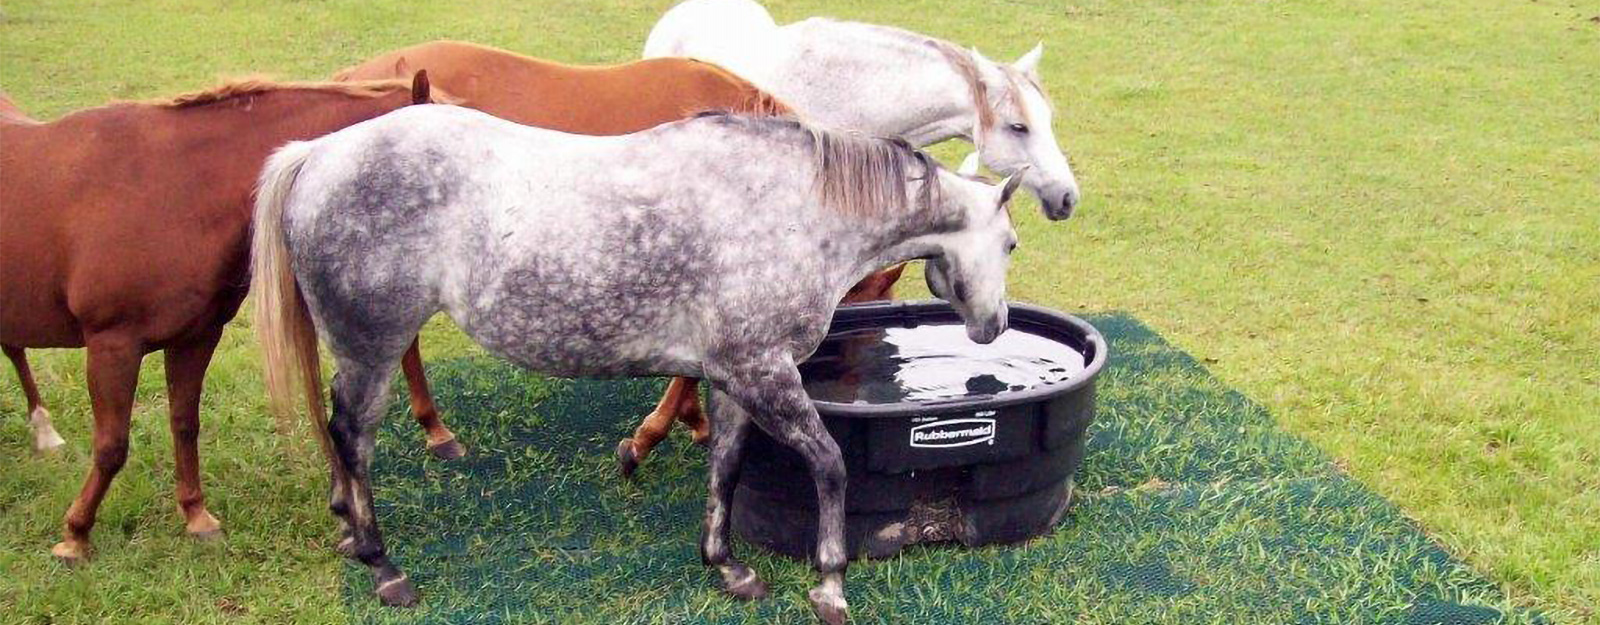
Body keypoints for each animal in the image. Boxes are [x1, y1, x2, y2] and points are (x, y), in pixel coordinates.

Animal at [0, 73, 434, 563]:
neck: (175, 187)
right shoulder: (113, 344)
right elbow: (112, 445)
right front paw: (76, 533)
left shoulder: (196, 337)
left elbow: (185, 424)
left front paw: (196, 515)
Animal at [251, 106, 1024, 623]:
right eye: (1012, 244)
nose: (994, 327)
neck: (799, 209)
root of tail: (318, 153)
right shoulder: (763, 371)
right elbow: (831, 465)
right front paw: (829, 582)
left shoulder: (733, 379)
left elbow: (726, 468)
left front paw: (728, 567)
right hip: (373, 347)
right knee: (352, 437)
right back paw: (382, 564)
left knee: (340, 436)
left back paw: (348, 528)